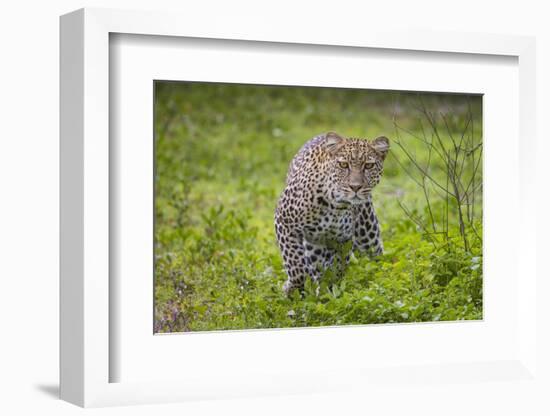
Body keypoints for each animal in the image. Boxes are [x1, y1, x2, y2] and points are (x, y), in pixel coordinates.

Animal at [274, 132, 388, 294]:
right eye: (343, 164)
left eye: (369, 165)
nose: (355, 187)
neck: (335, 205)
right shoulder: (284, 222)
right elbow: (296, 266)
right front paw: (292, 289)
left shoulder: (343, 240)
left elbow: (337, 269)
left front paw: (329, 291)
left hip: (367, 235)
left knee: (375, 256)